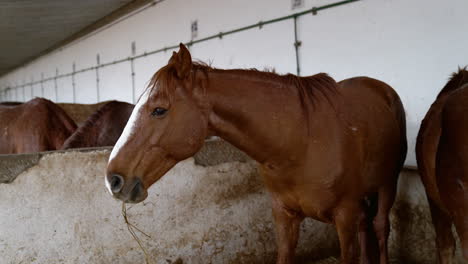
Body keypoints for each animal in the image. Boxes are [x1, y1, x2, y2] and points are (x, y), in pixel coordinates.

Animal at [105, 44, 406, 262]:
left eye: (159, 110)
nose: (113, 180)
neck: (301, 141)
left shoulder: (344, 217)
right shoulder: (284, 216)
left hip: (388, 184)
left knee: (380, 226)